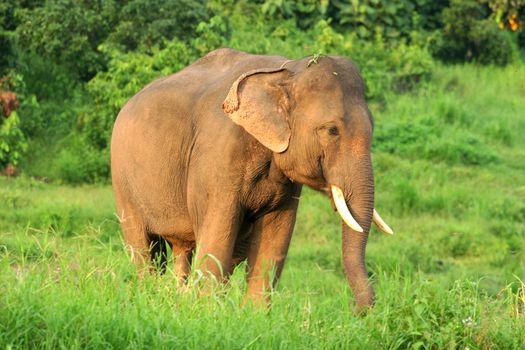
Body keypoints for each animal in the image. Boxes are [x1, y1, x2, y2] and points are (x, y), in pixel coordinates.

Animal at [110, 47, 390, 312]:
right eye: (332, 130)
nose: (355, 309)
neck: (287, 71)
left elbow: (275, 237)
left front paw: (253, 316)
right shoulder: (217, 156)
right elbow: (218, 233)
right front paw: (204, 312)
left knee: (185, 250)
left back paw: (177, 298)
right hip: (123, 180)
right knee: (145, 249)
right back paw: (153, 296)